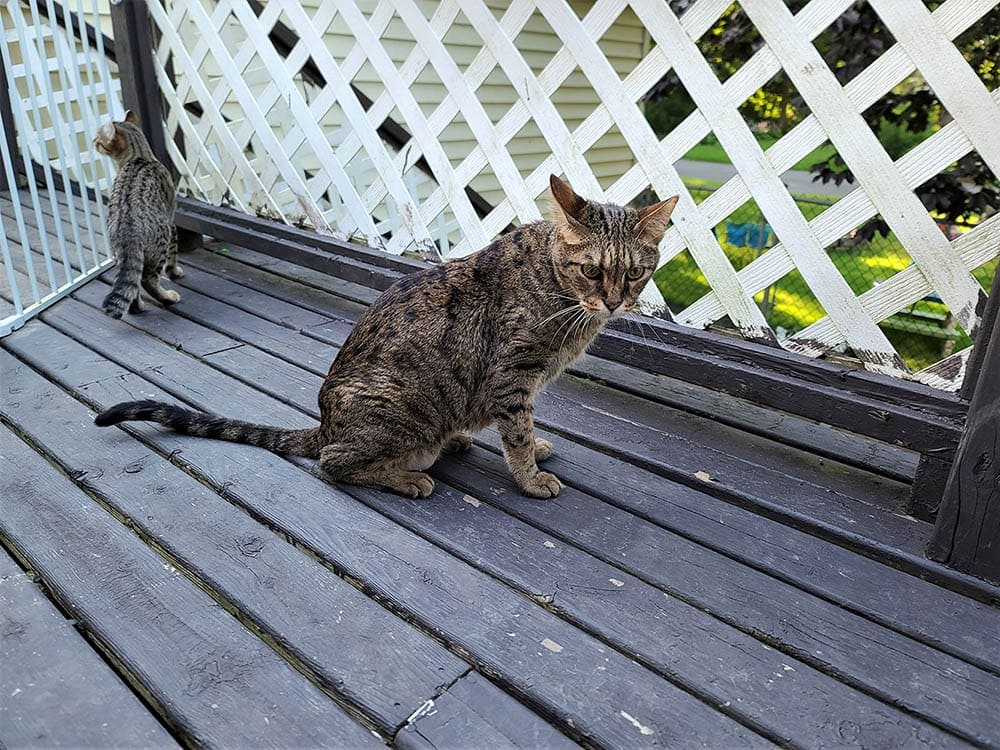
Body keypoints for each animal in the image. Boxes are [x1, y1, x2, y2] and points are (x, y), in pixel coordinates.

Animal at [94, 109, 184, 318]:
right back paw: (168, 297)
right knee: (147, 280)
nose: (93, 141)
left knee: (132, 284)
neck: (139, 155)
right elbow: (174, 254)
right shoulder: (172, 219)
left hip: (121, 257)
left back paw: (138, 307)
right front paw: (174, 271)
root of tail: (127, 229)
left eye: (98, 140)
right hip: (161, 242)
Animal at [94, 176, 676, 500]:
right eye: (592, 271)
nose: (615, 302)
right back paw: (405, 477)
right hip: (399, 406)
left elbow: (524, 431)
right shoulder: (512, 378)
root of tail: (324, 424)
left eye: (634, 274)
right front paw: (530, 475)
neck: (558, 290)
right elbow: (515, 435)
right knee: (334, 464)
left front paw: (535, 449)